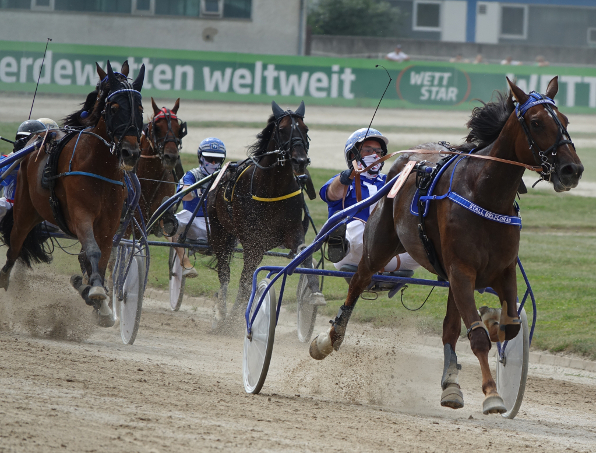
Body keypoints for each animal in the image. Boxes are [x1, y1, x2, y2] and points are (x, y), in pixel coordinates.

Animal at [0, 61, 146, 324]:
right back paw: (5, 280)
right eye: (114, 107)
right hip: (25, 211)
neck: (98, 165)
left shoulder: (110, 223)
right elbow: (93, 250)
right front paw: (95, 289)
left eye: (139, 107)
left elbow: (102, 256)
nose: (130, 152)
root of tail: (37, 139)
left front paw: (96, 296)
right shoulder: (80, 214)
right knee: (14, 247)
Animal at [206, 101, 324, 328]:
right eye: (282, 129)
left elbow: (304, 254)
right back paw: (222, 314)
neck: (273, 188)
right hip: (218, 231)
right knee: (224, 272)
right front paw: (236, 317)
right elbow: (245, 280)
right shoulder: (253, 242)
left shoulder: (293, 232)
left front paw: (315, 293)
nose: (300, 160)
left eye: (305, 129)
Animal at [310, 77, 584, 414]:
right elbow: (478, 338)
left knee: (450, 328)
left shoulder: (502, 270)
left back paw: (451, 384)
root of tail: (408, 159)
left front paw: (491, 321)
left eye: (566, 121)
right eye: (536, 122)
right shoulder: (461, 270)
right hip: (379, 246)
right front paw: (492, 394)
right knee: (358, 282)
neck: (485, 192)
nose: (572, 170)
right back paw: (329, 339)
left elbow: (509, 327)